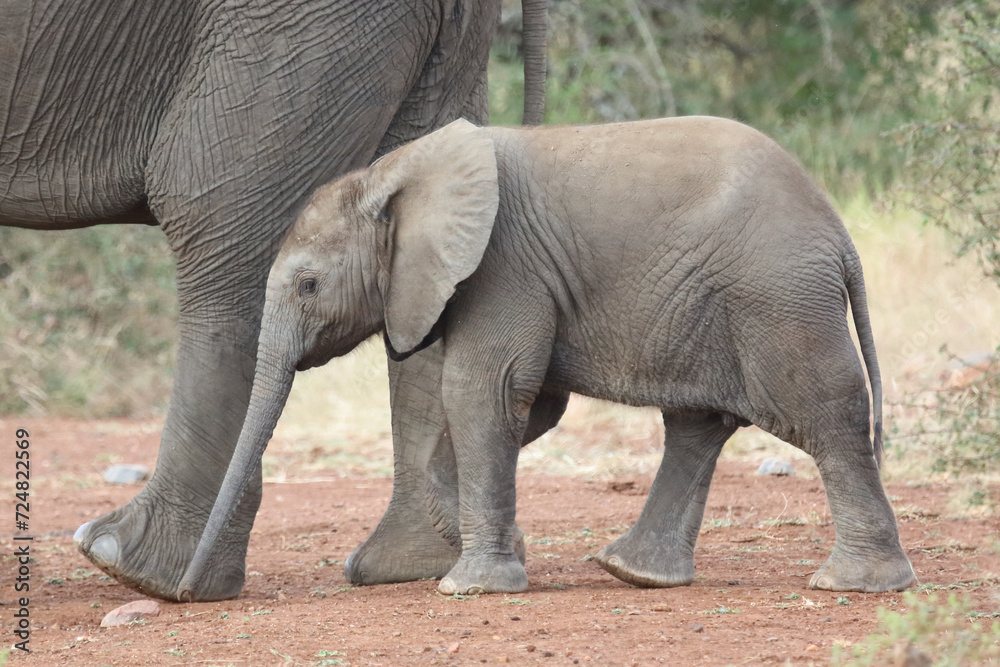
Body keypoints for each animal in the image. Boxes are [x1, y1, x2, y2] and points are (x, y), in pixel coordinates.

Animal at [178, 116, 917, 600]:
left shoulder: (504, 266)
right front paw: (481, 535)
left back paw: (853, 584)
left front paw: (471, 585)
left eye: (308, 285)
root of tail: (839, 235)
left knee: (822, 417)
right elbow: (531, 403)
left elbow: (484, 388)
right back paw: (633, 572)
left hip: (778, 297)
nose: (184, 593)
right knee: (699, 423)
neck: (391, 175)